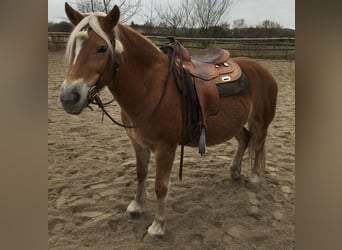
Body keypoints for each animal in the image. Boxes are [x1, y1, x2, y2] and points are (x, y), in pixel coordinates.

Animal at [59, 2, 278, 240]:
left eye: (101, 48)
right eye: (72, 47)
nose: (69, 97)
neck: (149, 87)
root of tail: (261, 69)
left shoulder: (166, 147)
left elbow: (160, 186)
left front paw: (157, 226)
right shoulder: (138, 143)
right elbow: (140, 174)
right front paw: (137, 207)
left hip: (260, 121)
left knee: (258, 144)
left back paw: (254, 179)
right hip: (234, 123)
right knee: (245, 139)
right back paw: (235, 172)